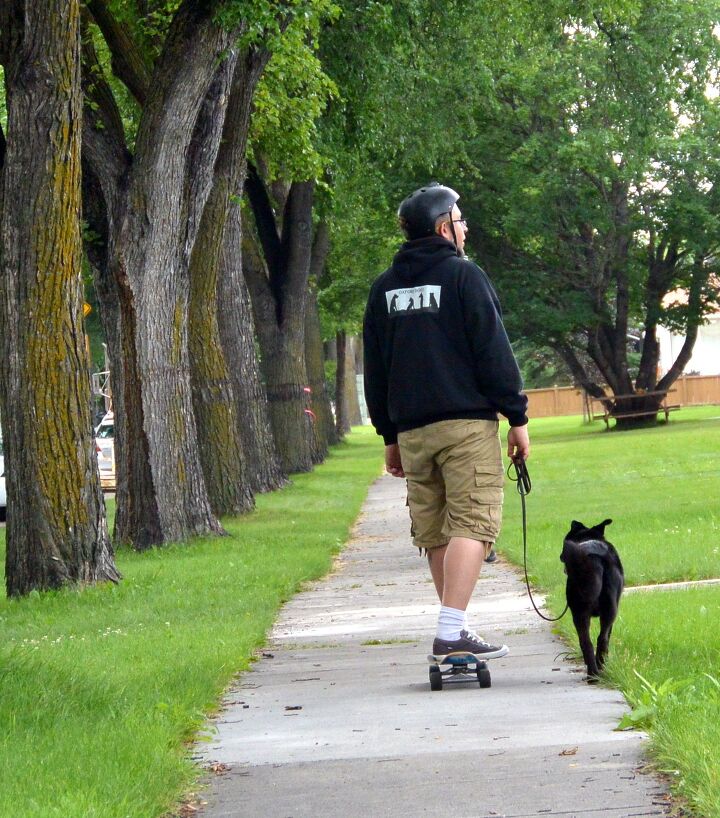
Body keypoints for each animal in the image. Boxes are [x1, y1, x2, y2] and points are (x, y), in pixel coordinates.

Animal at [564, 520, 624, 680]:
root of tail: (594, 556)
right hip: (602, 610)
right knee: (597, 640)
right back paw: (596, 672)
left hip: (586, 611)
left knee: (592, 641)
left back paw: (595, 673)